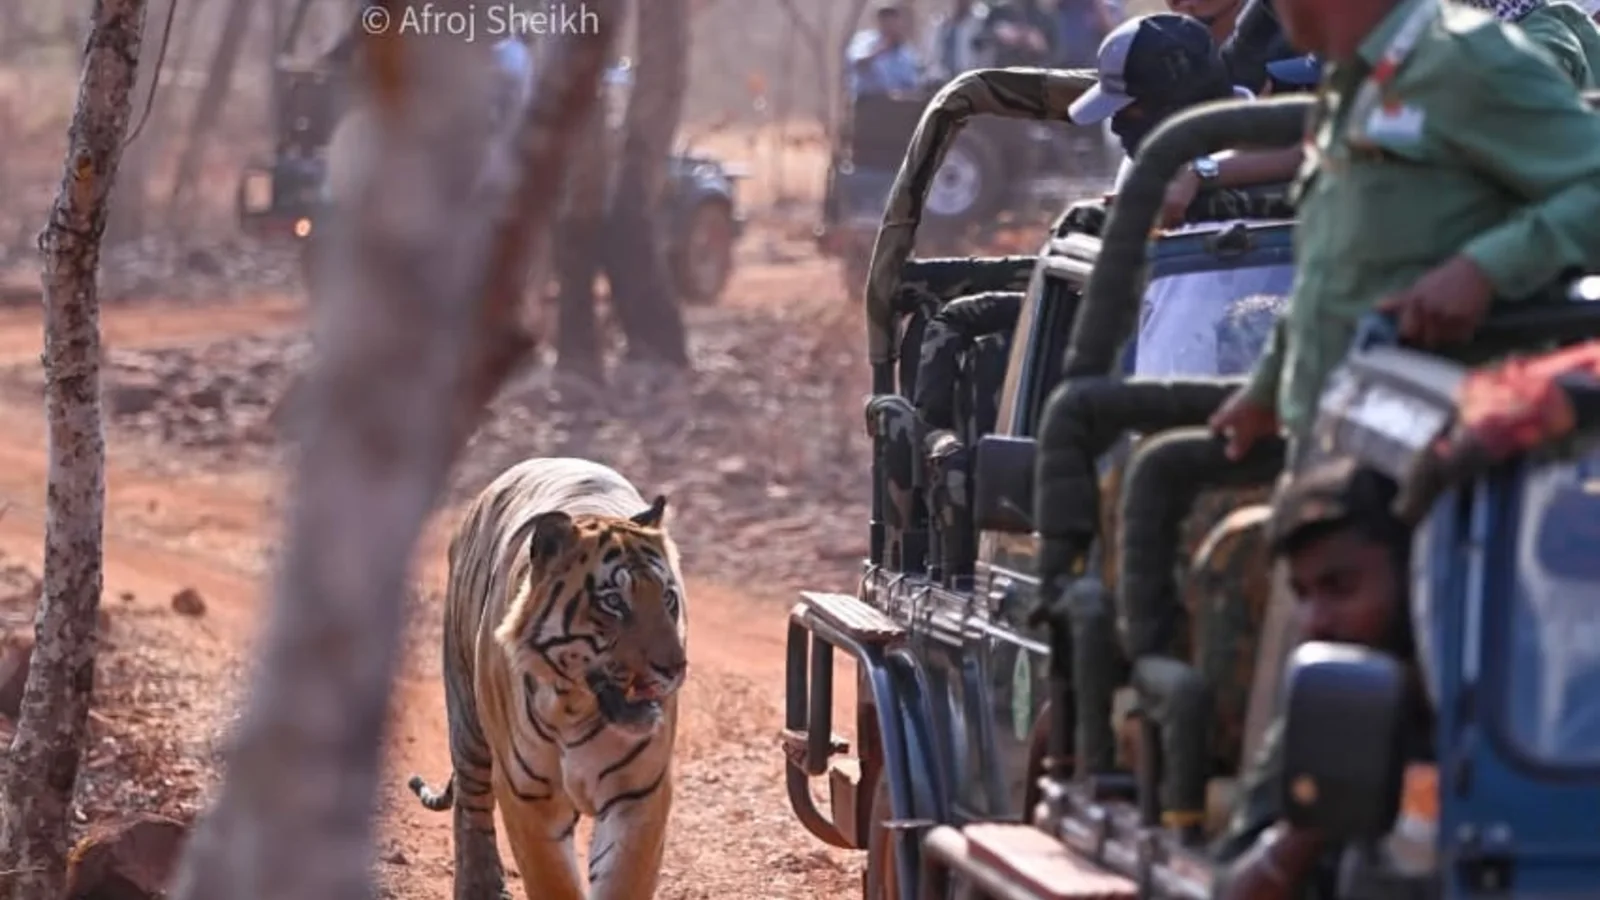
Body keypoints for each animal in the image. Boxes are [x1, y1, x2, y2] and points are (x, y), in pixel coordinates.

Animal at [408, 456, 689, 900]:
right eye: (614, 603)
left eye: (667, 598)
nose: (674, 667)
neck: (577, 706)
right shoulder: (529, 795)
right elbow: (552, 880)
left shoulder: (639, 792)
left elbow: (624, 879)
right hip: (467, 724)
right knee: (471, 809)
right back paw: (480, 886)